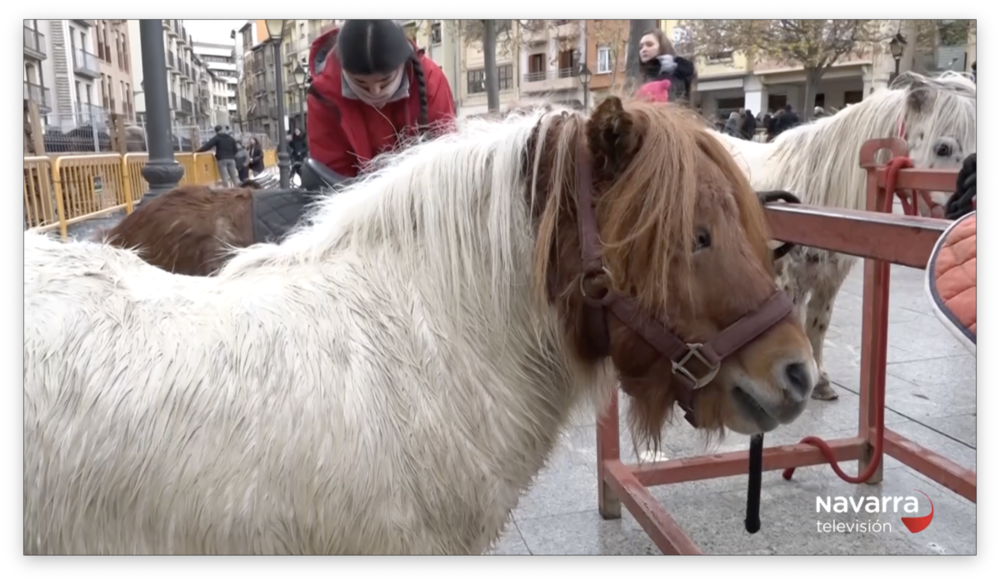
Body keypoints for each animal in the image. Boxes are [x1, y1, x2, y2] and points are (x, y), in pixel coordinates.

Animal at [712, 72, 976, 402]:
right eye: (942, 148)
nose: (967, 207)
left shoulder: (829, 276)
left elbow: (818, 322)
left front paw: (821, 381)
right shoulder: (789, 277)